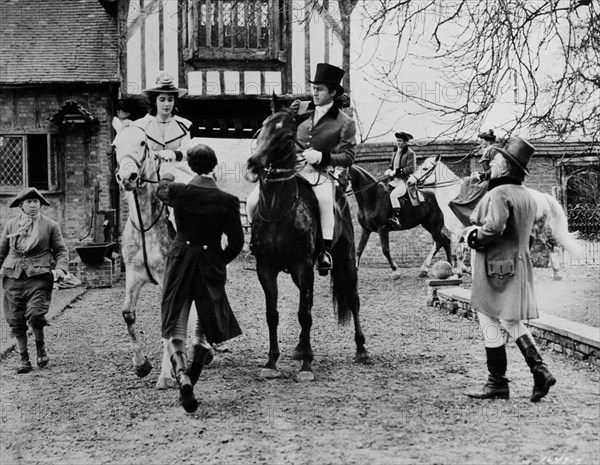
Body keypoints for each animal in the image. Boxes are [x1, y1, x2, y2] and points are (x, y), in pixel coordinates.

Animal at [111, 117, 198, 388]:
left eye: (142, 143)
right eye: (115, 145)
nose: (127, 176)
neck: (145, 224)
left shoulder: (168, 279)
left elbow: (168, 321)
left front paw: (166, 375)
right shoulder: (133, 275)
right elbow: (127, 315)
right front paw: (141, 365)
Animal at [245, 99, 368, 378]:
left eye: (288, 137)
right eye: (262, 128)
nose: (253, 164)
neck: (278, 210)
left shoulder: (303, 266)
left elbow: (304, 315)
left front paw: (307, 367)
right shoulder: (266, 268)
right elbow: (273, 314)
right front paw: (271, 362)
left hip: (345, 259)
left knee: (352, 300)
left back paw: (361, 350)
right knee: (309, 301)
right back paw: (300, 347)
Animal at [410, 156, 584, 280]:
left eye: (424, 168)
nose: (410, 182)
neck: (454, 196)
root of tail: (542, 196)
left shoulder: (458, 232)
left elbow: (457, 253)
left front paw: (456, 273)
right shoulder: (464, 233)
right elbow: (462, 252)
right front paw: (462, 271)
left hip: (541, 228)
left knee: (550, 246)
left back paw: (557, 273)